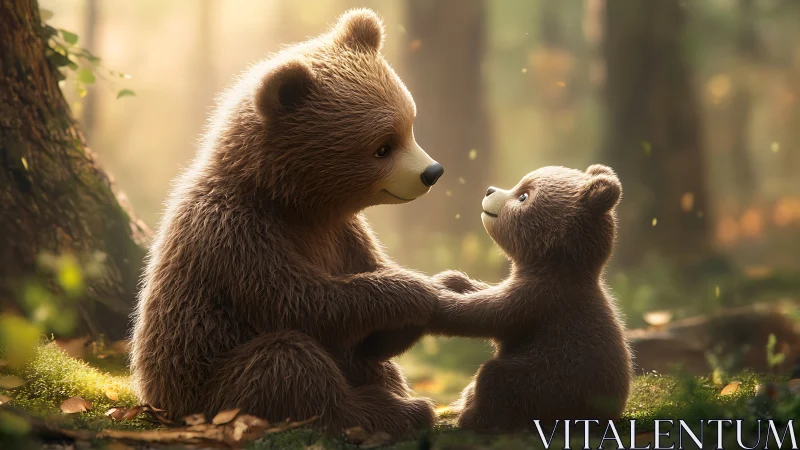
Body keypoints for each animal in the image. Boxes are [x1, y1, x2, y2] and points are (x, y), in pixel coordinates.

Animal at [130, 9, 453, 437]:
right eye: (382, 147)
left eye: (410, 124)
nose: (432, 172)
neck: (294, 202)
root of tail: (157, 401)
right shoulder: (235, 233)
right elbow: (298, 300)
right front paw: (414, 292)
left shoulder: (343, 232)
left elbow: (366, 280)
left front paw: (426, 302)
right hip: (207, 385)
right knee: (286, 362)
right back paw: (392, 411)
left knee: (368, 367)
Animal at [429, 165, 633, 432]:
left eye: (523, 196)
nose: (490, 190)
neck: (555, 264)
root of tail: (611, 414)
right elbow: (485, 292)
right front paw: (449, 279)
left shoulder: (541, 298)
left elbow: (486, 313)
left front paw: (434, 300)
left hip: (550, 386)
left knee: (496, 379)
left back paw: (471, 416)